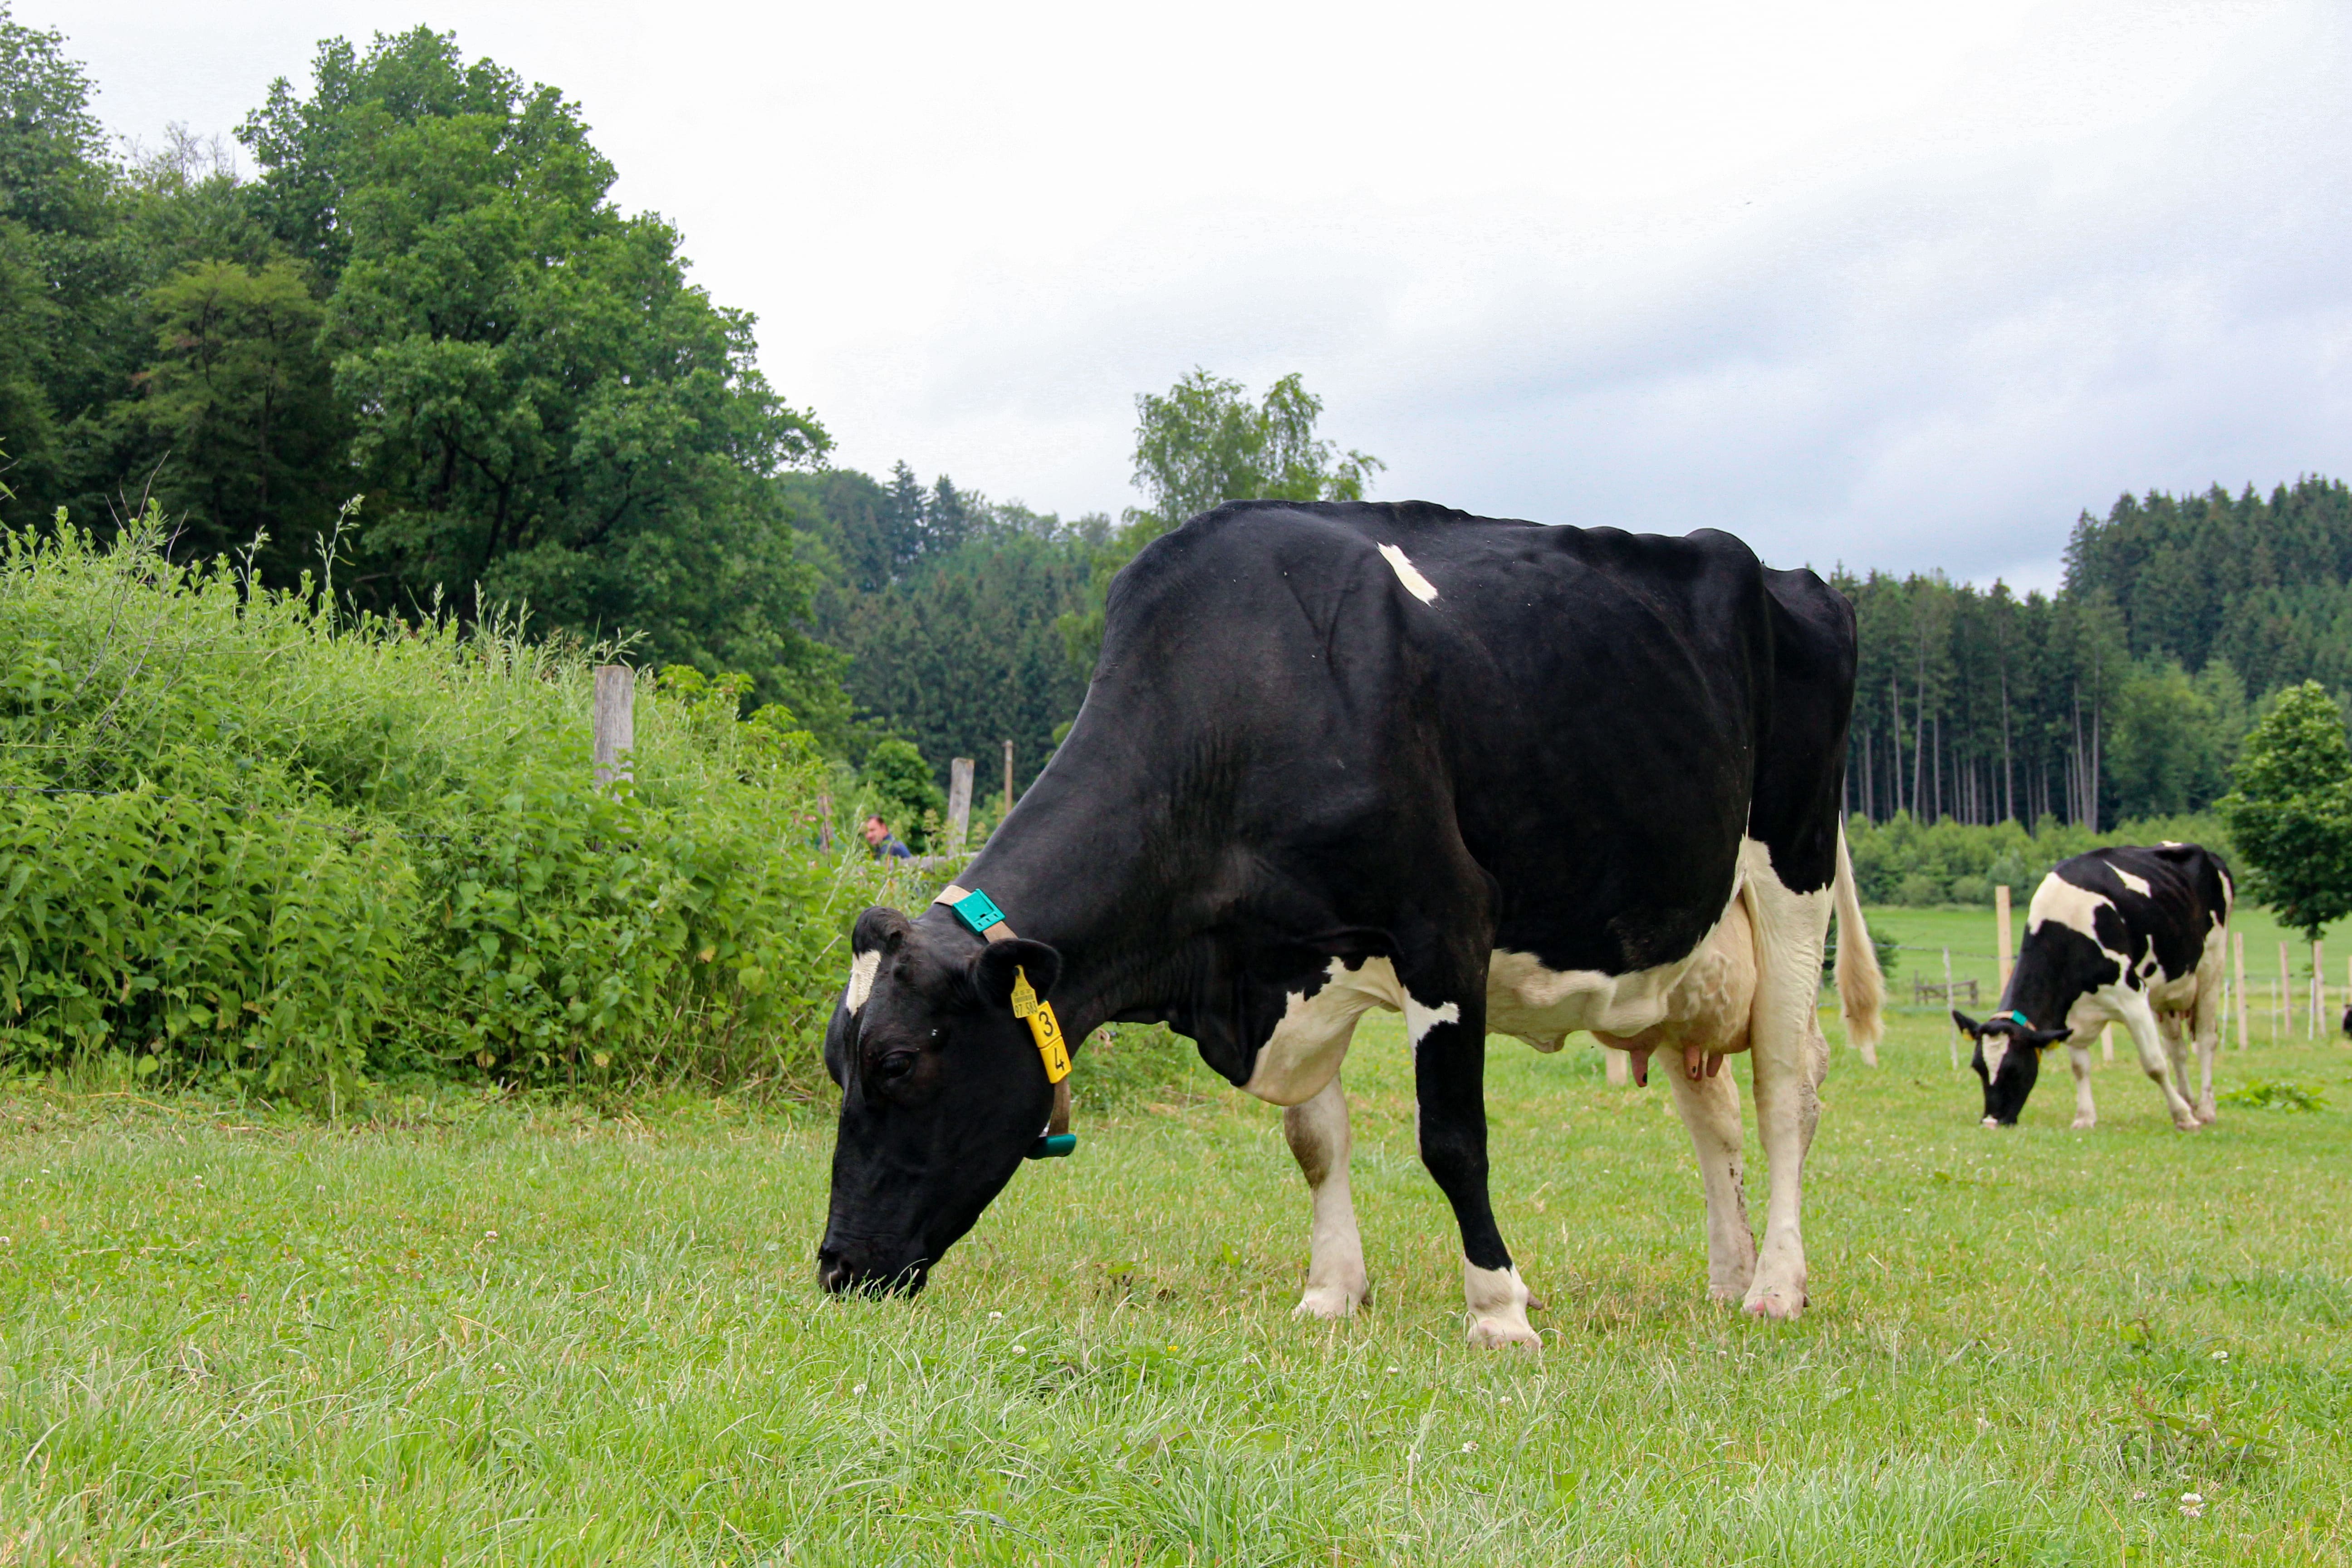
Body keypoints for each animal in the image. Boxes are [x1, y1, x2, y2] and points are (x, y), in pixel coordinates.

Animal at [823, 500, 1872, 1335]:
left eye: (899, 1063)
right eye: (839, 1064)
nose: (835, 1267)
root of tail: (1782, 574)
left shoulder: (1445, 924)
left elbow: (1451, 1138)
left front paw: (1499, 1310)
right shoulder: (1290, 958)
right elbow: (1314, 1142)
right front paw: (1330, 1293)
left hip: (1792, 882)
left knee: (1786, 1091)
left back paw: (1776, 1285)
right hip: (1691, 948)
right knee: (1715, 1113)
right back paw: (1729, 1273)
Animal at [1957, 846, 2230, 1142]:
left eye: (2014, 1069)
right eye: (1978, 1067)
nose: (1991, 1122)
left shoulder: (2133, 998)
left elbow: (2155, 1065)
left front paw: (2184, 1119)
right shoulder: (2071, 1016)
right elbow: (2080, 1067)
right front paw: (2085, 1118)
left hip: (2211, 968)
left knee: (2205, 1041)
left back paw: (2205, 1111)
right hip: (2167, 991)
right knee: (2177, 1049)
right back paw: (2189, 1102)